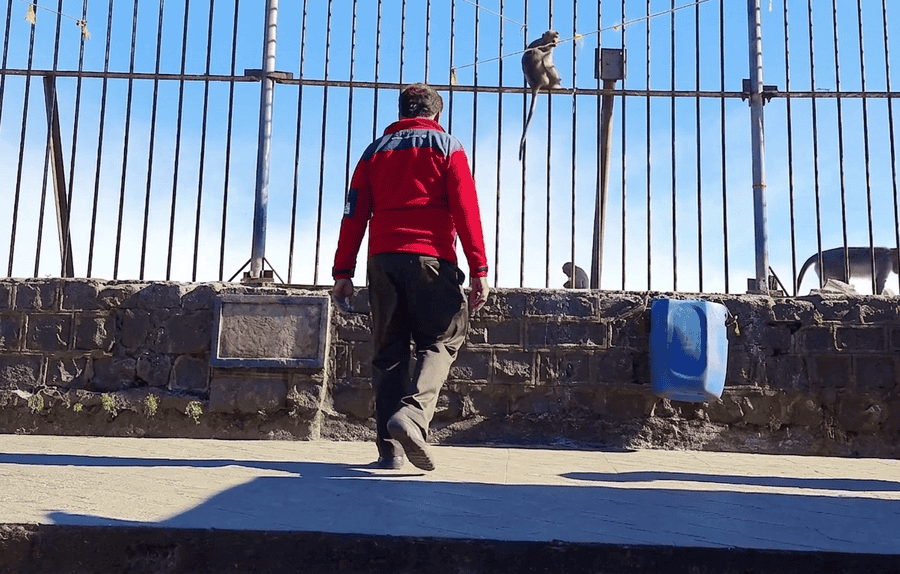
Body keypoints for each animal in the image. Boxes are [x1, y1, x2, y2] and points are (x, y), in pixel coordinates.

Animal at [519, 30, 563, 161]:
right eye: (553, 37)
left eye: (556, 37)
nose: (555, 41)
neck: (543, 42)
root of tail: (535, 84)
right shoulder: (547, 49)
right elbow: (548, 63)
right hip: (545, 78)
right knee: (540, 58)